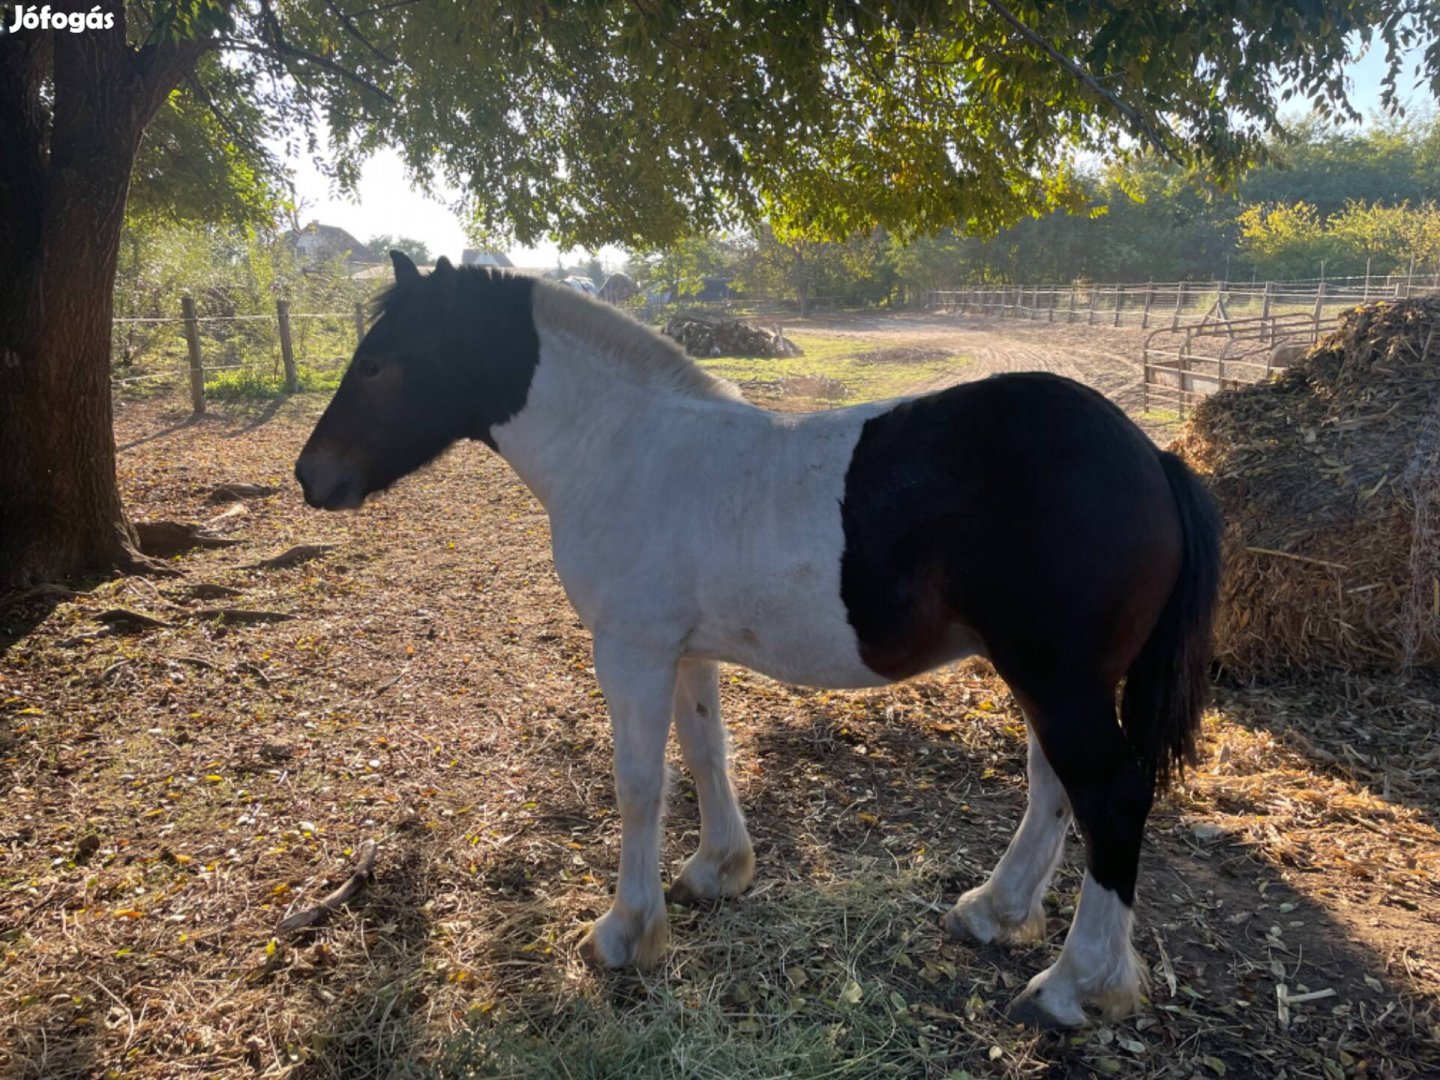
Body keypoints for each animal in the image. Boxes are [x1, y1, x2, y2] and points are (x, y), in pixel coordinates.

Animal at [298, 253, 1221, 1031]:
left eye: (377, 362)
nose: (311, 475)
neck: (623, 446)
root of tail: (1151, 456)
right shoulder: (684, 651)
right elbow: (706, 753)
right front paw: (716, 871)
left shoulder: (630, 651)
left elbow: (639, 785)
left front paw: (625, 932)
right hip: (1047, 679)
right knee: (1052, 789)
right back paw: (995, 913)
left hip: (1058, 680)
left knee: (1109, 797)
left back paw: (1074, 987)